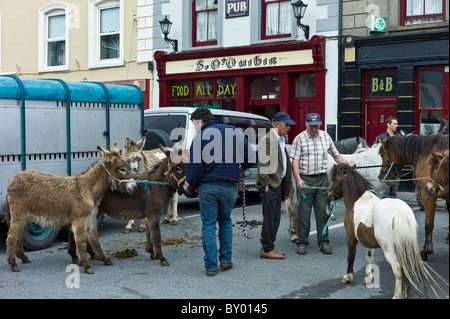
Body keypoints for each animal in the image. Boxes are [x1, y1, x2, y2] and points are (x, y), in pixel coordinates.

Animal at [5, 144, 136, 274]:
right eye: (122, 169)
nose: (135, 186)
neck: (88, 188)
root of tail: (12, 179)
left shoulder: (91, 218)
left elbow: (94, 239)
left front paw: (104, 259)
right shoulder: (80, 219)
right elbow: (81, 241)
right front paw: (86, 265)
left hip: (27, 218)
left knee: (19, 236)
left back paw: (23, 258)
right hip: (19, 215)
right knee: (11, 237)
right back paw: (13, 264)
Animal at [326, 165, 440, 300]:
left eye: (335, 178)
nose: (328, 193)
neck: (357, 200)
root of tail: (400, 211)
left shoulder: (350, 237)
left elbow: (350, 256)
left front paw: (347, 277)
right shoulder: (369, 242)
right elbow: (368, 258)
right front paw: (368, 278)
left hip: (388, 249)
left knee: (397, 268)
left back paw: (397, 295)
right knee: (406, 267)